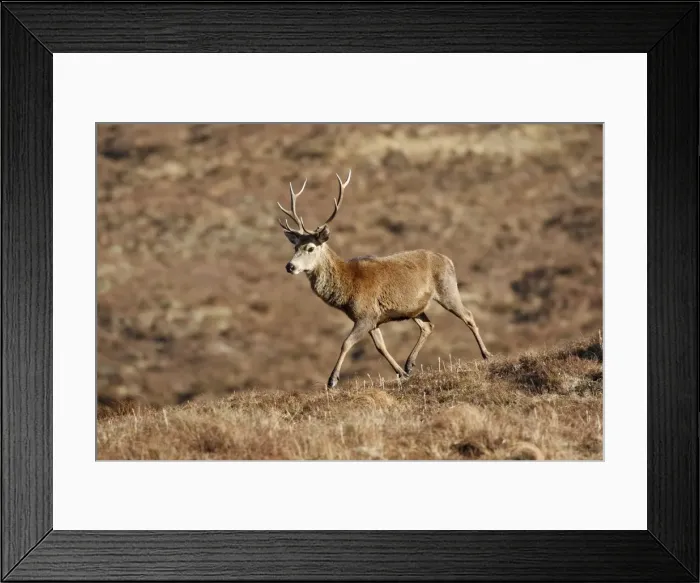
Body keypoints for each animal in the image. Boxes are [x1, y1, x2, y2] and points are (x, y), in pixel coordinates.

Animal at [277, 169, 492, 390]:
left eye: (310, 248)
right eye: (295, 247)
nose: (290, 266)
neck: (347, 288)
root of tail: (448, 260)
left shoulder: (366, 314)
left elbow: (346, 343)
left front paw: (332, 380)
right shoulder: (373, 319)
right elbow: (380, 346)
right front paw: (401, 373)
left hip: (448, 289)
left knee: (468, 315)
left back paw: (486, 354)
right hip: (415, 307)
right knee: (428, 326)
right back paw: (409, 364)